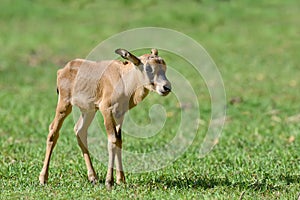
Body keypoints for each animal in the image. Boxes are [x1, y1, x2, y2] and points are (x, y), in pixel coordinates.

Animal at [38, 48, 172, 189]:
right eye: (148, 68)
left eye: (164, 66)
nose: (166, 87)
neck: (123, 77)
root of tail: (63, 70)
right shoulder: (106, 110)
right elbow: (112, 141)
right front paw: (109, 181)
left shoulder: (120, 114)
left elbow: (119, 141)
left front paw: (121, 179)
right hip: (64, 105)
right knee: (53, 131)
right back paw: (43, 178)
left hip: (89, 111)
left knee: (80, 130)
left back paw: (93, 177)